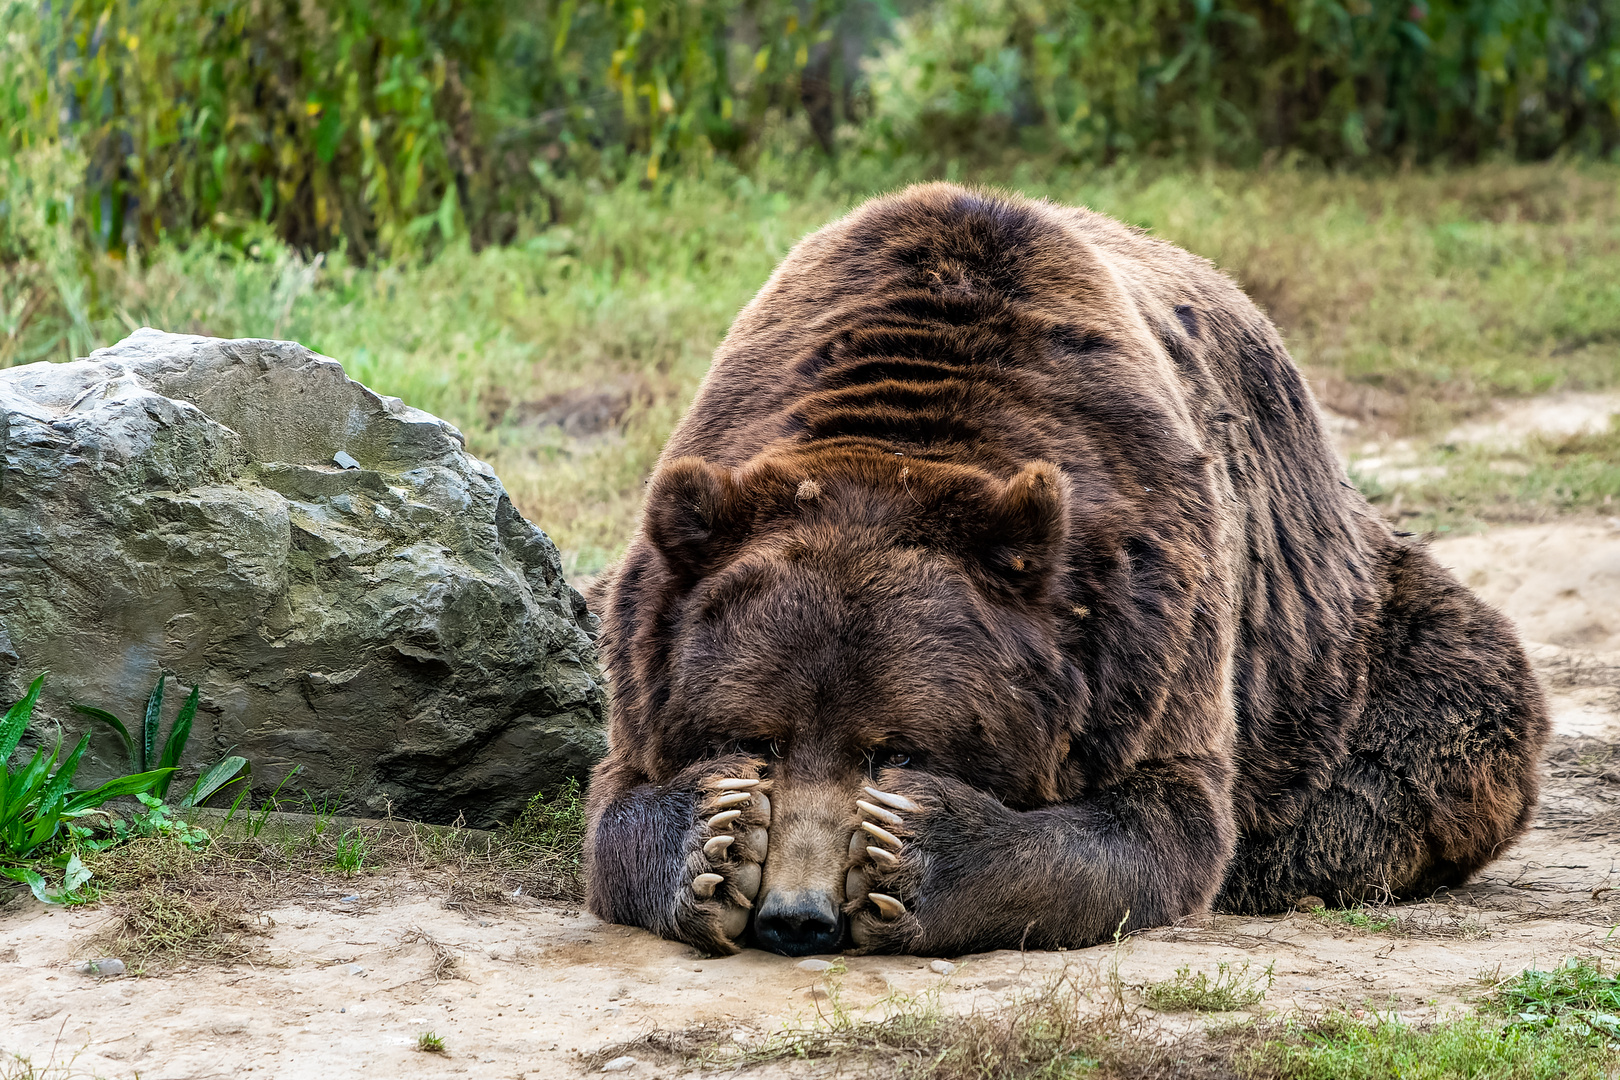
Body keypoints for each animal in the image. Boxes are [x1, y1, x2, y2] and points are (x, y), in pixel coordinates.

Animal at [579, 181, 1542, 958]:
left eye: (895, 749)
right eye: (756, 738)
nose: (798, 918)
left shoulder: (1149, 612)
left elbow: (1164, 821)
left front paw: (917, 854)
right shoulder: (649, 632)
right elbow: (618, 805)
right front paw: (716, 841)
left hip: (1337, 639)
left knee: (1450, 700)